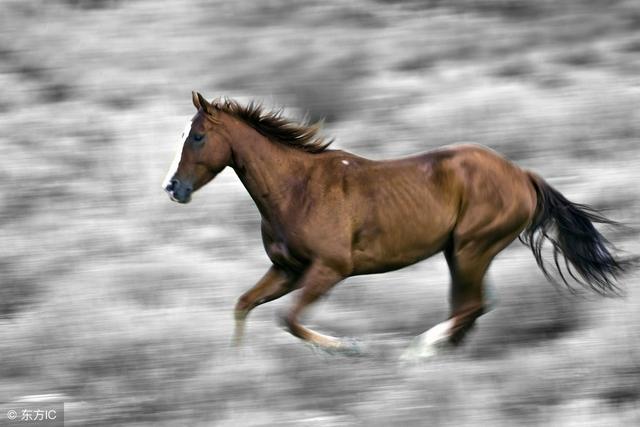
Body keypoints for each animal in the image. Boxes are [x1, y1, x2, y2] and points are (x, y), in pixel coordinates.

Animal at [162, 92, 628, 360]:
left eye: (198, 136)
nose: (172, 187)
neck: (296, 188)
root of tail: (523, 176)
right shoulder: (288, 271)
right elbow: (244, 305)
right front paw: (236, 363)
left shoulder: (329, 270)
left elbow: (288, 320)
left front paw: (349, 348)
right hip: (462, 252)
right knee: (472, 308)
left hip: (470, 248)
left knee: (470, 307)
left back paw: (419, 351)